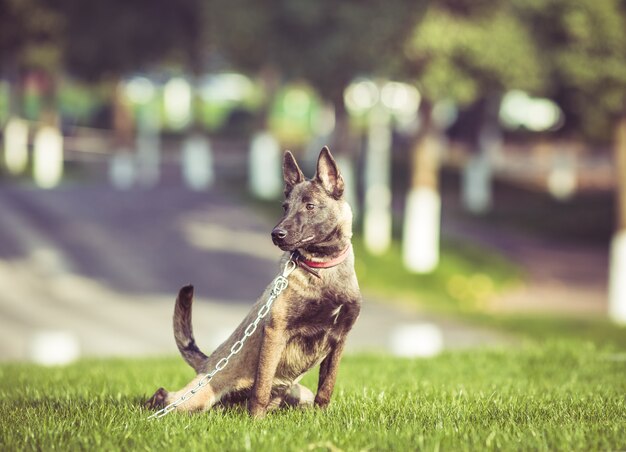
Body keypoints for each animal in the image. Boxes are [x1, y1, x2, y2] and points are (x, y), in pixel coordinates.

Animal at [146, 147, 360, 418]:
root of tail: (208, 363)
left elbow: (326, 386)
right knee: (166, 396)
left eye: (310, 206)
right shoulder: (276, 332)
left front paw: (320, 416)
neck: (321, 268)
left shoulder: (339, 340)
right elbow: (262, 386)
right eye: (285, 207)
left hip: (300, 395)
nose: (276, 234)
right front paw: (256, 421)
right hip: (195, 398)